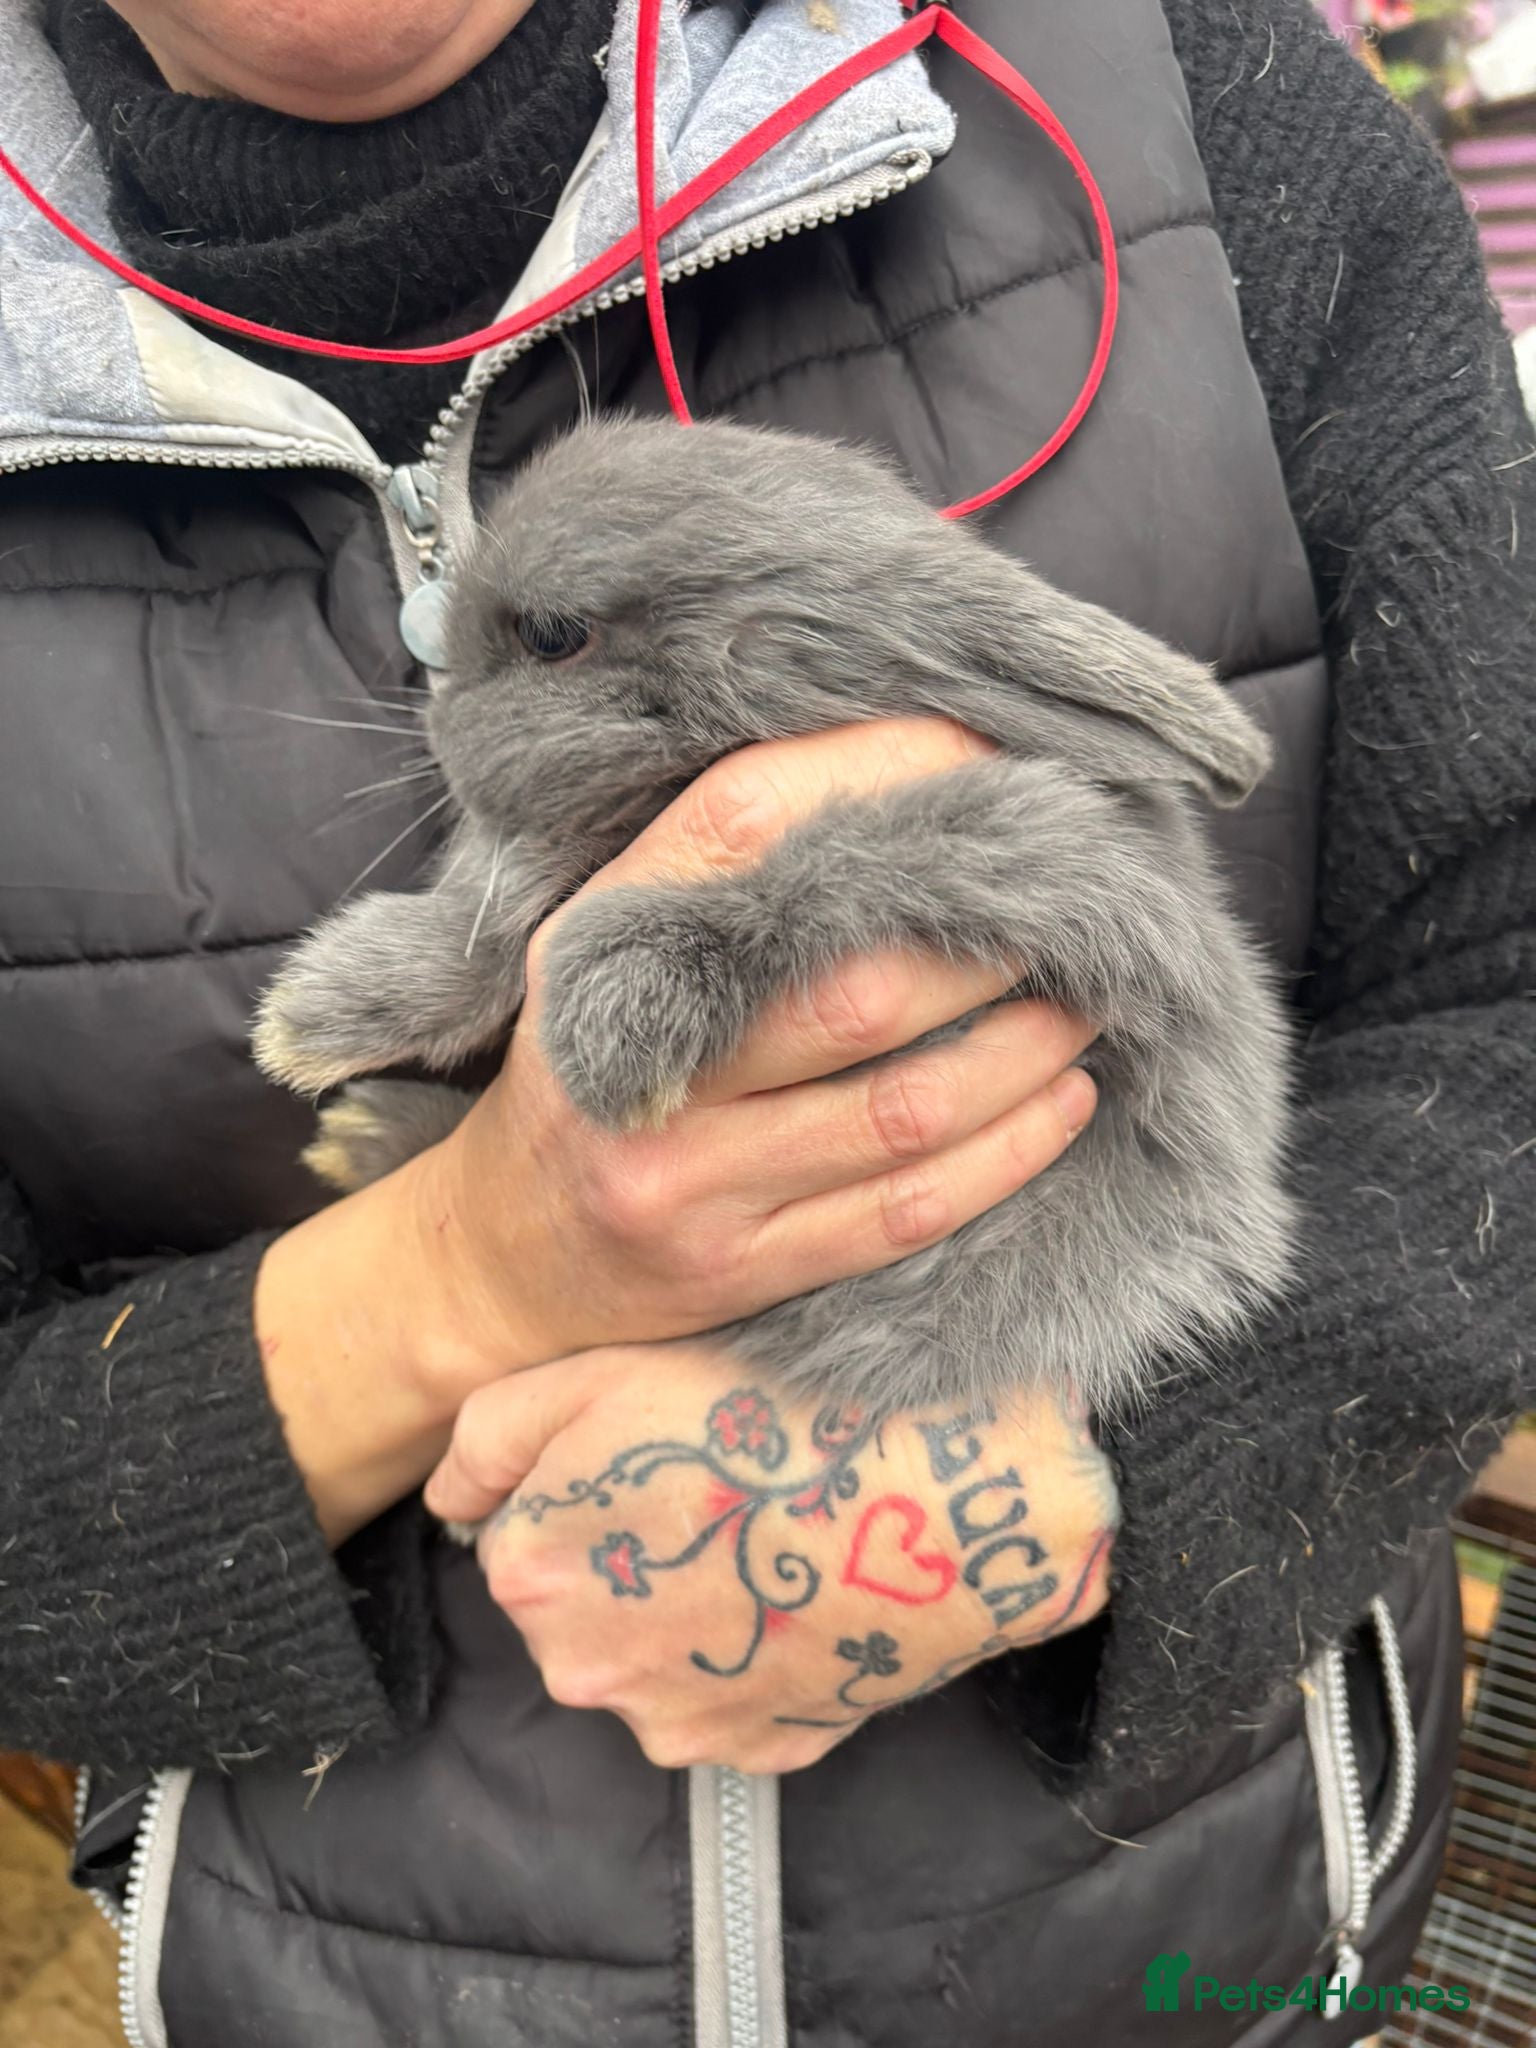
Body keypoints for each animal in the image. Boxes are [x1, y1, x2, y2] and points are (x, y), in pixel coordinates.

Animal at [254, 416, 1295, 1422]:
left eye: (551, 634)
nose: (439, 725)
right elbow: (490, 918)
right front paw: (317, 1015)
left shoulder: (1021, 837)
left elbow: (826, 860)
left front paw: (616, 1012)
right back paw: (362, 1137)